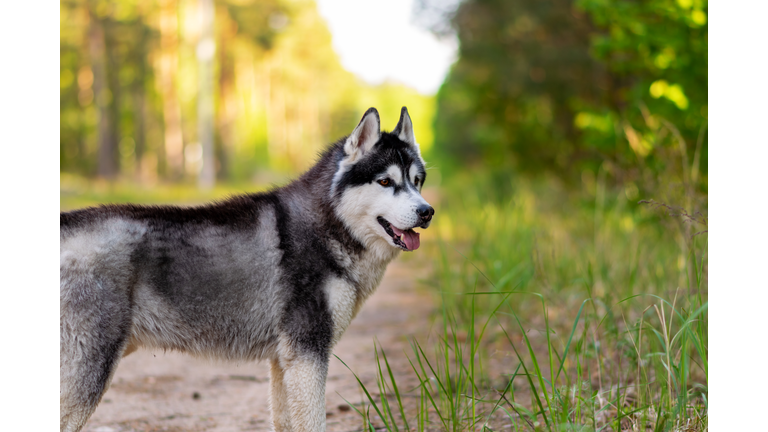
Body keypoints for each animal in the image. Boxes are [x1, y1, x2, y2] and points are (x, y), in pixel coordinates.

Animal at [61, 105, 432, 432]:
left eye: (417, 181)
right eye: (385, 182)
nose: (427, 211)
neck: (329, 224)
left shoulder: (285, 362)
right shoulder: (307, 354)